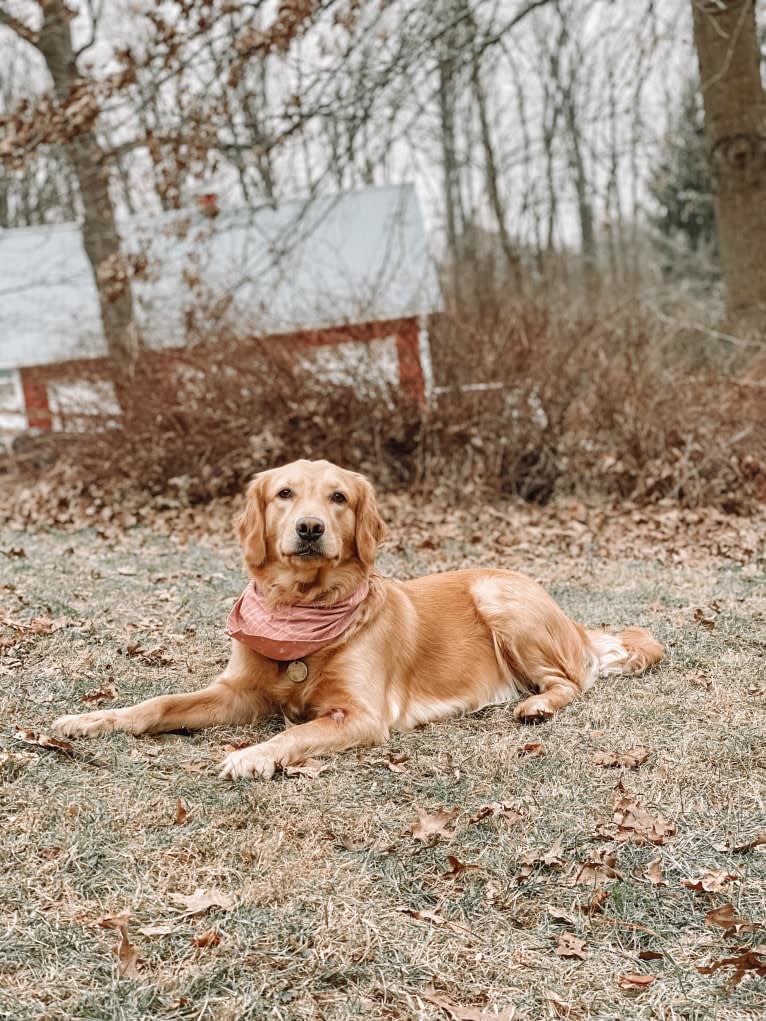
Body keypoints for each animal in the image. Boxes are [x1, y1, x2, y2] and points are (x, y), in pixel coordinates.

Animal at [54, 459, 665, 775]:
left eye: (339, 498)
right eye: (284, 494)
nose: (309, 528)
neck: (303, 608)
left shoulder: (361, 716)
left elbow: (293, 734)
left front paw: (251, 755)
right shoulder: (237, 692)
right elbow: (157, 705)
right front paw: (91, 720)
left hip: (499, 595)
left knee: (570, 681)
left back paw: (537, 704)